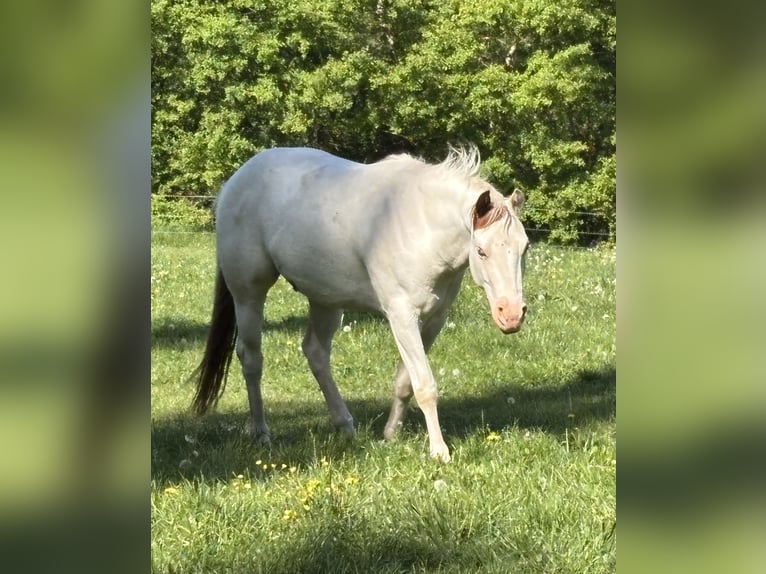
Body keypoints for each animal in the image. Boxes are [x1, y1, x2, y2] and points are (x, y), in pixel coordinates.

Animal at [191, 146, 528, 462]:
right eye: (481, 251)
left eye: (524, 247)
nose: (511, 315)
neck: (421, 224)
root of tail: (233, 183)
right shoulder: (402, 316)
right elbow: (425, 386)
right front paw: (439, 451)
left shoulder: (434, 318)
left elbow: (405, 382)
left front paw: (390, 434)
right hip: (248, 295)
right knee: (251, 359)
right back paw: (262, 433)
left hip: (325, 300)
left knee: (315, 353)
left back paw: (345, 425)